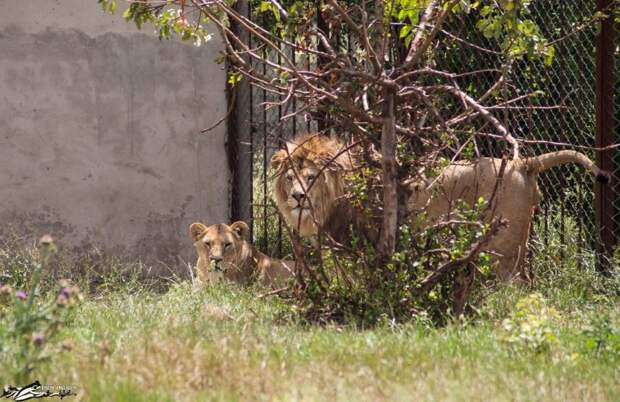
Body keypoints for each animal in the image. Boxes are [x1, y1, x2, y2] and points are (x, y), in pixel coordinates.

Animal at [268, 133, 608, 282]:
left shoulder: (361, 247)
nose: (297, 197)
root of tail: (522, 163)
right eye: (290, 177)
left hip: (503, 248)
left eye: (311, 178)